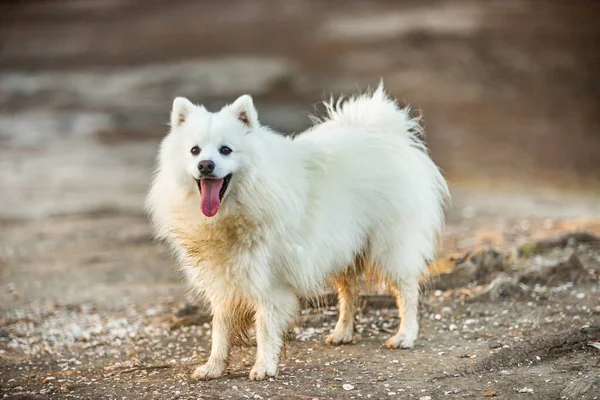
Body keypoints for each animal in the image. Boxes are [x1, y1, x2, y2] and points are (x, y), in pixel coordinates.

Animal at [145, 84, 448, 382]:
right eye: (195, 150)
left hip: (390, 246)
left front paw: (264, 366)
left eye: (226, 150)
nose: (205, 165)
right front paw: (214, 367)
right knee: (350, 292)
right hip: (343, 247)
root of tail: (385, 131)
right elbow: (220, 329)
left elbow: (265, 327)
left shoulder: (268, 281)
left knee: (407, 290)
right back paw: (343, 332)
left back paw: (405, 335)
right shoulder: (224, 279)